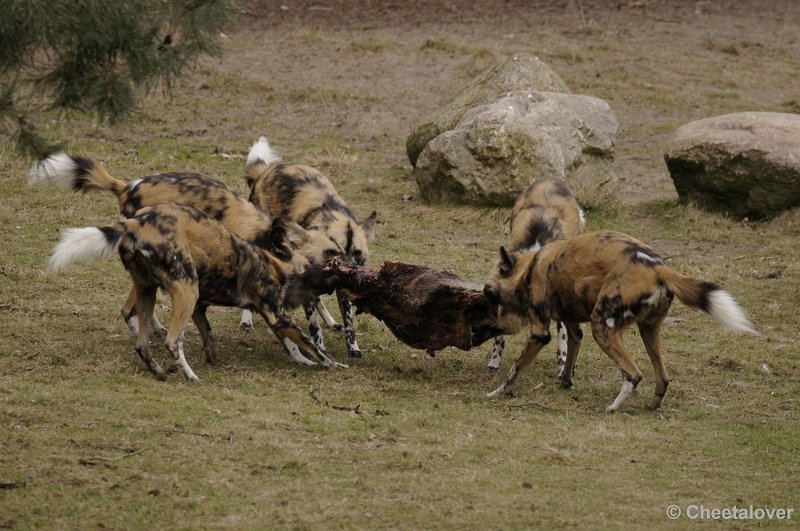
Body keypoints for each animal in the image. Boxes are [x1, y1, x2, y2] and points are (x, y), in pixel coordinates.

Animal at [28, 152, 338, 364]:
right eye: (330, 254)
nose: (346, 268)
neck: (267, 238)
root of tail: (126, 187)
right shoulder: (267, 297)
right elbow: (292, 337)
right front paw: (309, 356)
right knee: (129, 309)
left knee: (137, 306)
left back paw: (153, 331)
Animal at [47, 203, 346, 378]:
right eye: (330, 254)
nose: (343, 272)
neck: (274, 264)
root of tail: (136, 222)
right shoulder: (277, 315)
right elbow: (311, 345)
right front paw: (332, 364)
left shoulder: (203, 307)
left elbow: (213, 336)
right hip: (185, 288)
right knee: (172, 340)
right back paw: (190, 375)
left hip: (149, 289)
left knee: (141, 339)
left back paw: (159, 371)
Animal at [241, 137, 378, 360]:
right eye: (334, 253)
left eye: (357, 254)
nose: (350, 269)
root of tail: (269, 170)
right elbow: (315, 327)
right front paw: (320, 348)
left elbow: (349, 323)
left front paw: (353, 347)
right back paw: (246, 320)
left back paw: (331, 321)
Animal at [482, 231, 756, 414]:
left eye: (488, 287)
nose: (483, 291)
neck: (530, 266)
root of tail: (659, 269)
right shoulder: (572, 325)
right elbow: (570, 356)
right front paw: (566, 382)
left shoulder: (540, 332)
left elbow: (515, 368)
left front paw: (497, 392)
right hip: (648, 331)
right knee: (662, 378)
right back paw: (652, 406)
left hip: (602, 327)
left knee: (634, 374)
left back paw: (613, 407)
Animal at [484, 179, 584, 374]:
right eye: (496, 297)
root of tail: (551, 179)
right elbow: (499, 338)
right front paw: (495, 359)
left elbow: (563, 334)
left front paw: (563, 364)